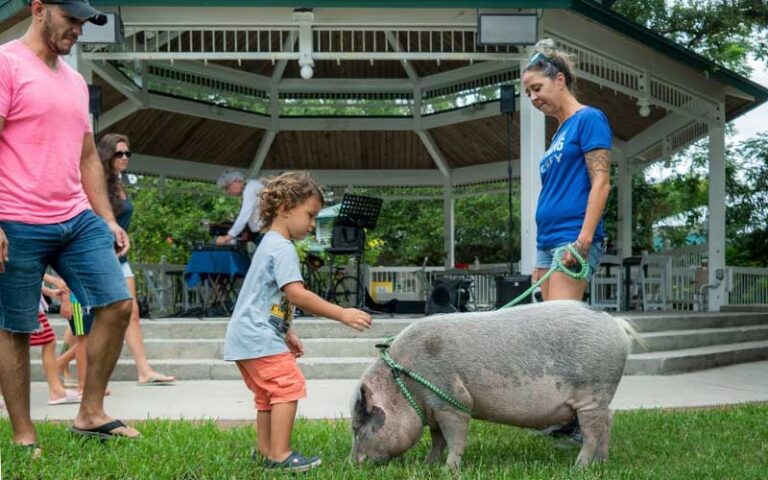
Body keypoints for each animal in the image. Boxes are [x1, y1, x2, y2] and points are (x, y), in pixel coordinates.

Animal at [352, 300, 632, 468]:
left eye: (356, 427)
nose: (351, 463)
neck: (403, 382)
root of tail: (615, 323)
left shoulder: (452, 402)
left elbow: (454, 438)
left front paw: (449, 469)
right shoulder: (433, 411)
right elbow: (437, 439)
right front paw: (428, 464)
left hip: (593, 392)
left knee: (592, 432)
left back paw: (579, 467)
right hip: (600, 398)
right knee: (608, 420)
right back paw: (602, 464)